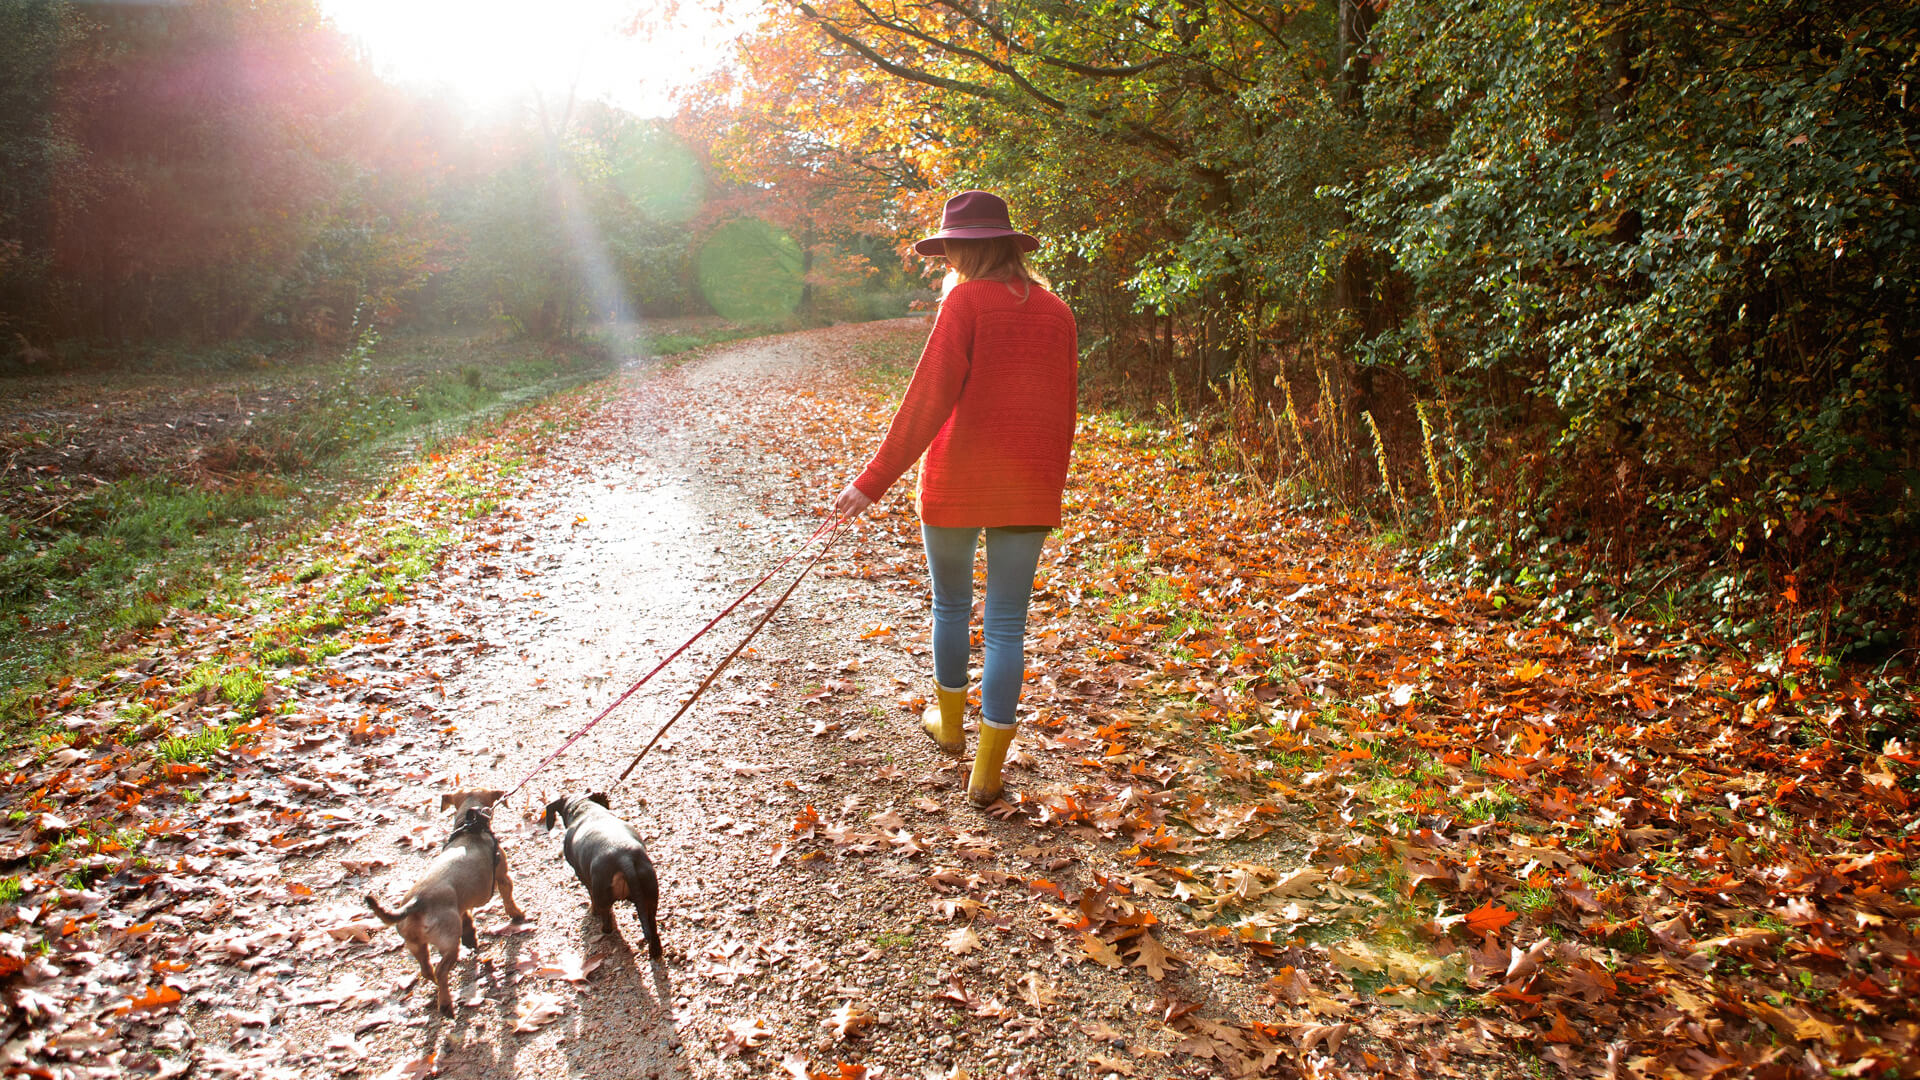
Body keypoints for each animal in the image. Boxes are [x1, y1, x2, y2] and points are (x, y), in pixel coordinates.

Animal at [366, 787, 526, 1014]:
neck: (470, 827)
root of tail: (416, 902)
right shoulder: (504, 877)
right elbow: (508, 899)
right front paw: (517, 914)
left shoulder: (463, 905)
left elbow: (468, 919)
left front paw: (472, 938)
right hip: (449, 943)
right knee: (441, 970)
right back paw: (446, 1003)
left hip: (415, 945)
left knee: (427, 970)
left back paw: (436, 985)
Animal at [541, 787, 660, 953]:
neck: (584, 808)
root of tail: (624, 858)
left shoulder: (582, 876)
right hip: (650, 898)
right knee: (653, 930)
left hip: (603, 896)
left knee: (606, 920)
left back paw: (603, 927)